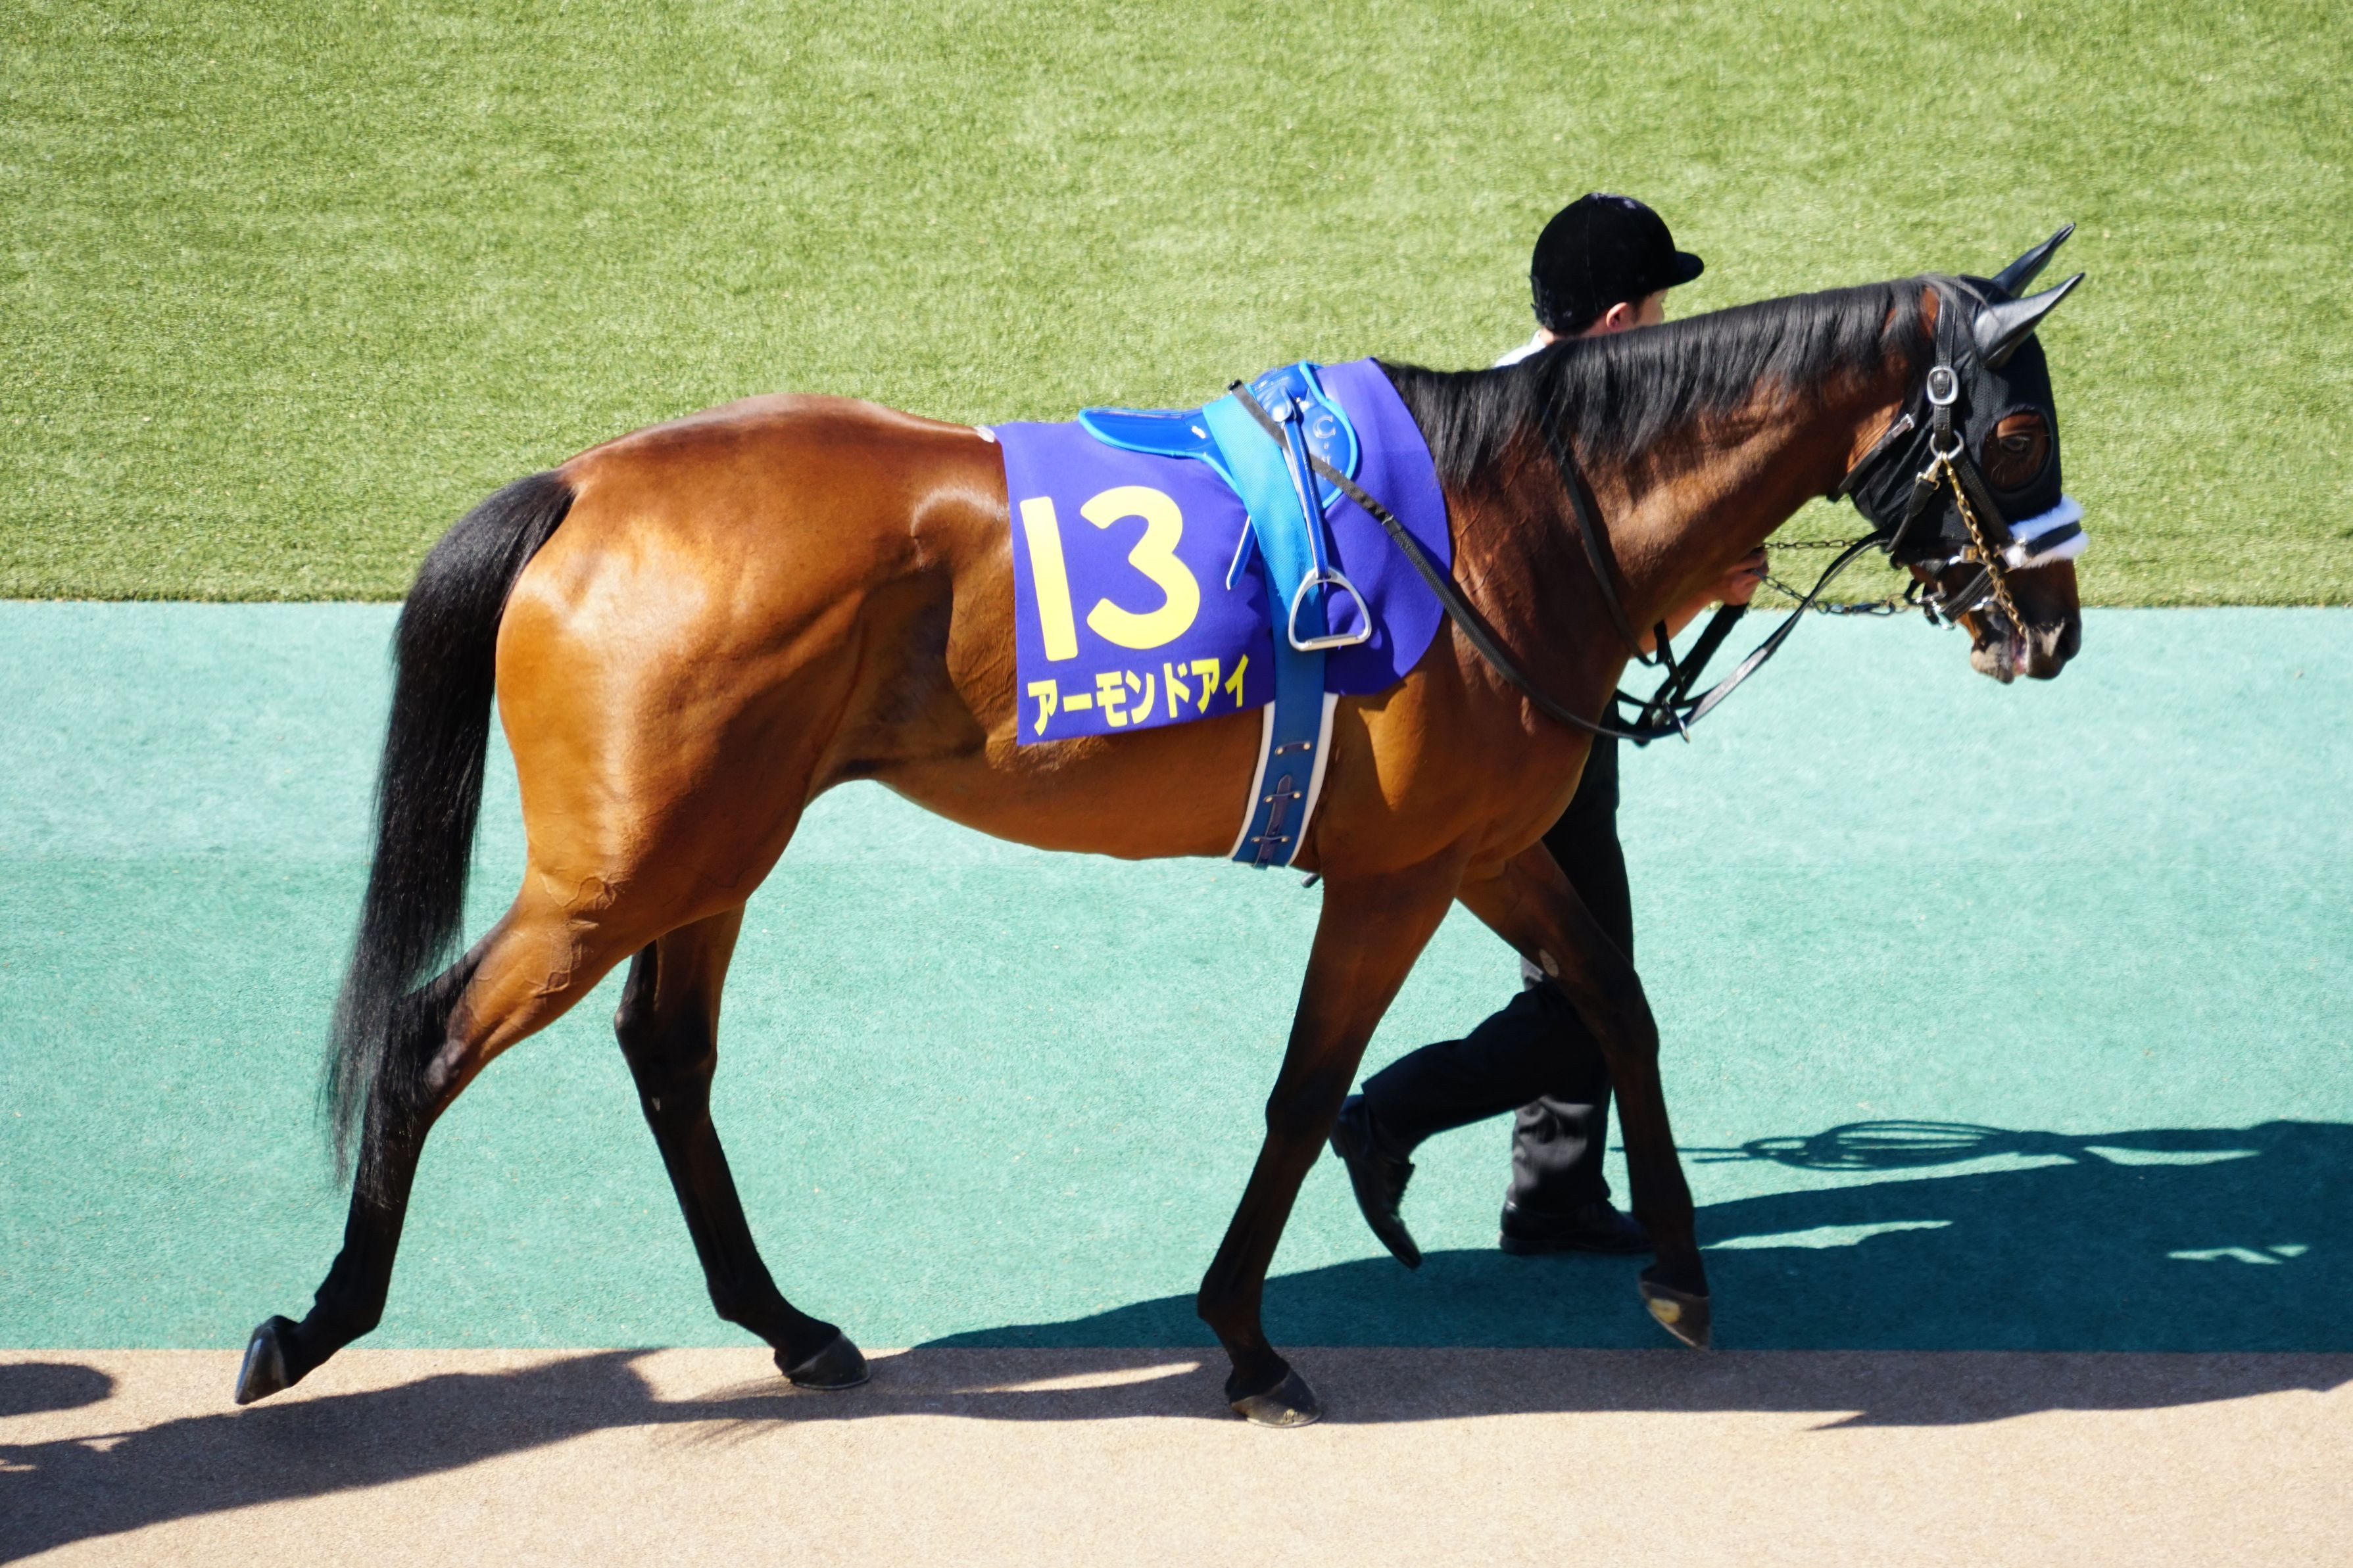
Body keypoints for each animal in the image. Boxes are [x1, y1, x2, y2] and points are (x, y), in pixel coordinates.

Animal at [235, 242, 2088, 1427]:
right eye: (2010, 428)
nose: (2052, 631)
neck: (1508, 517)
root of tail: (587, 484)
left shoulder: (1490, 849)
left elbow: (1614, 1006)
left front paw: (1680, 1273)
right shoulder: (1397, 873)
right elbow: (1305, 1089)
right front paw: (1250, 1342)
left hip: (715, 851)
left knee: (667, 1057)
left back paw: (791, 1324)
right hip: (623, 865)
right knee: (428, 1039)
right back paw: (319, 1326)